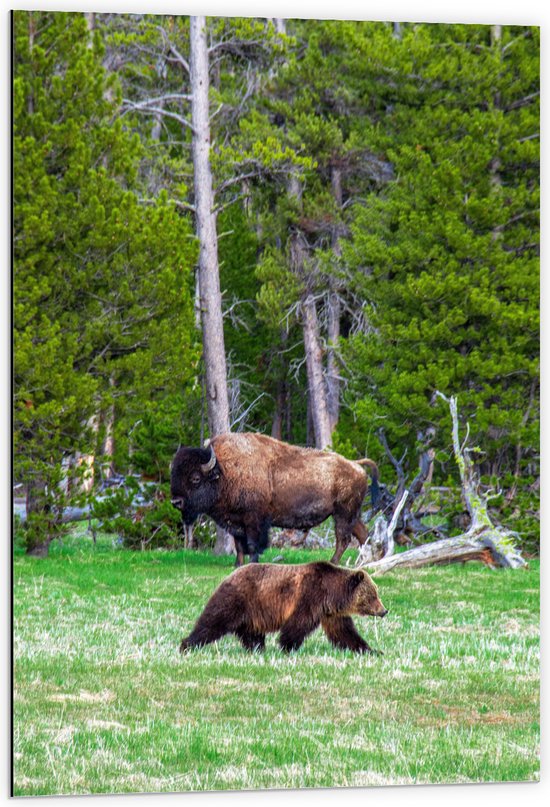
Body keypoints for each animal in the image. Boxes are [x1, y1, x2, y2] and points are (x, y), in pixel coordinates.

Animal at [170, 432, 382, 564]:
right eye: (174, 474)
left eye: (195, 478)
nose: (175, 502)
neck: (225, 471)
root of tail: (356, 465)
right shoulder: (235, 522)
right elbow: (239, 546)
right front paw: (237, 565)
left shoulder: (254, 520)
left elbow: (253, 545)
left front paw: (252, 564)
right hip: (351, 515)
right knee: (362, 534)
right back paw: (369, 561)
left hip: (343, 514)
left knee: (343, 539)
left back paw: (334, 563)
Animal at [180, 560, 388, 656]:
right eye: (373, 595)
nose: (384, 611)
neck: (332, 593)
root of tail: (229, 575)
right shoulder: (310, 595)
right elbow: (297, 624)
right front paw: (287, 647)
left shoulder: (331, 613)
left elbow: (345, 632)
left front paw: (371, 650)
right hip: (238, 598)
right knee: (213, 622)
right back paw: (187, 645)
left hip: (252, 612)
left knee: (251, 633)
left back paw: (257, 649)